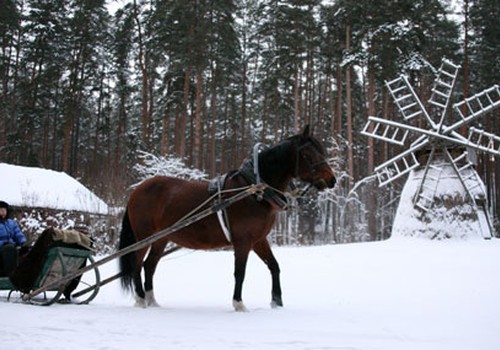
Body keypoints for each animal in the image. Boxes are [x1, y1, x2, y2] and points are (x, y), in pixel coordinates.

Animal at [118, 124, 336, 310]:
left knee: (149, 265)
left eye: (322, 151)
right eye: (307, 154)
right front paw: (239, 304)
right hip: (144, 237)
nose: (331, 180)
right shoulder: (243, 241)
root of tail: (138, 190)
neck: (254, 191)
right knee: (137, 263)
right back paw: (140, 300)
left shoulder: (259, 240)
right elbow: (240, 272)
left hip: (161, 238)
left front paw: (277, 302)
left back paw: (152, 302)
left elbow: (274, 266)